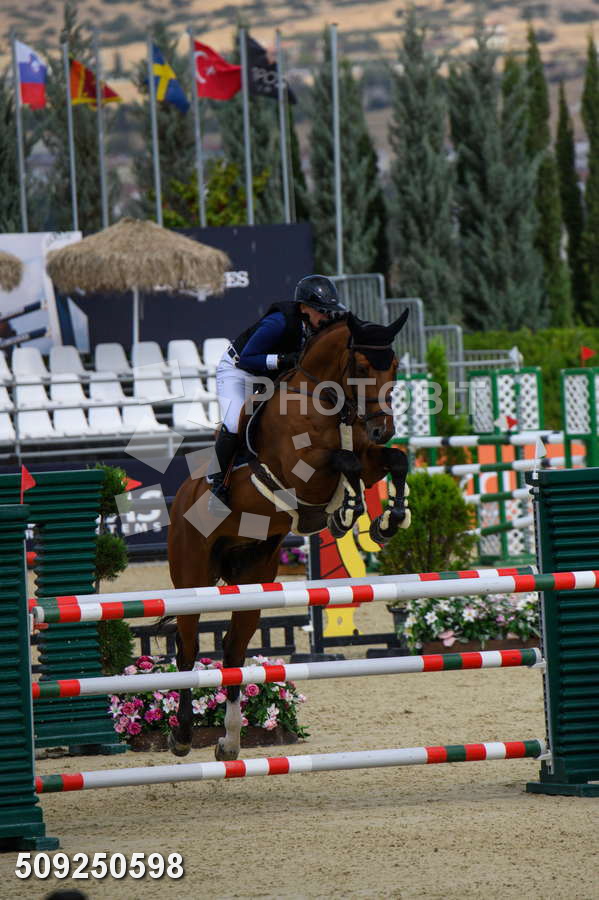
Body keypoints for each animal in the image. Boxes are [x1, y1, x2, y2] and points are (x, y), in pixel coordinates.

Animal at [167, 311, 410, 759]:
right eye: (361, 365)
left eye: (395, 366)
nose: (382, 429)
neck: (324, 400)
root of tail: (180, 502)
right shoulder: (303, 471)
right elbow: (344, 460)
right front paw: (347, 511)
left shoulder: (369, 457)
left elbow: (392, 461)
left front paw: (389, 519)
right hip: (191, 579)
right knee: (188, 652)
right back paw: (183, 736)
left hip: (252, 583)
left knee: (232, 652)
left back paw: (229, 741)